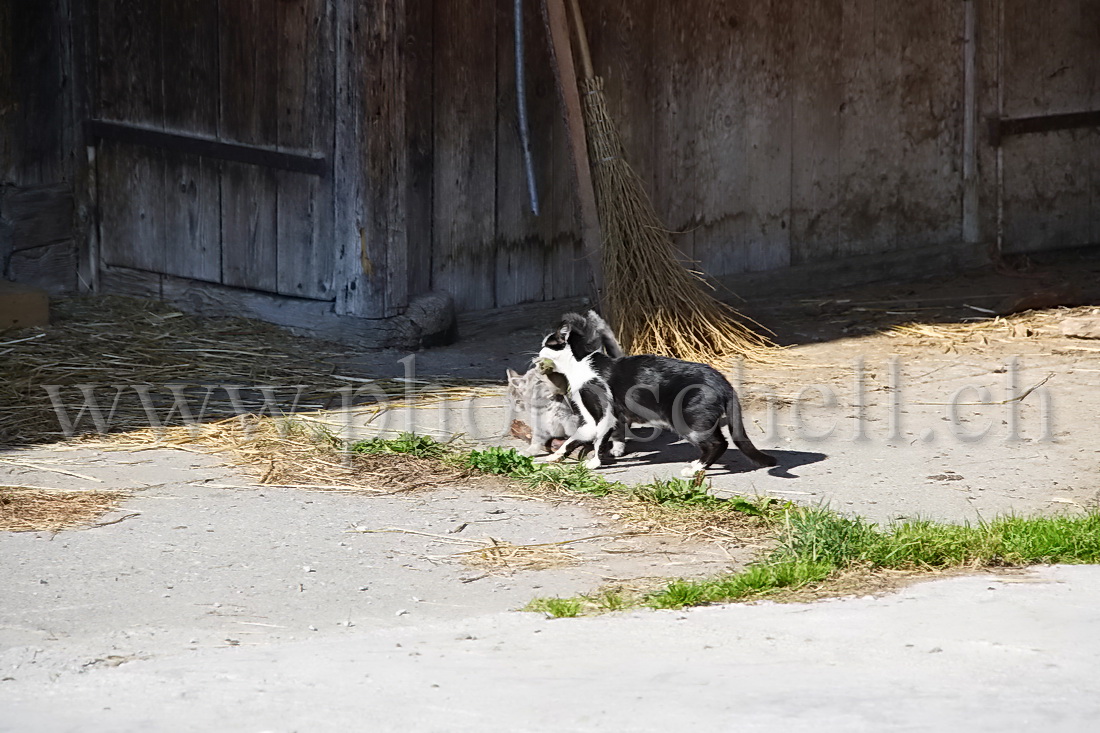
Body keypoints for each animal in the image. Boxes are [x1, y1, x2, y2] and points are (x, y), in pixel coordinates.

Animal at [536, 316, 778, 471]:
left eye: (546, 344)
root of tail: (723, 382)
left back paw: (695, 468)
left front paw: (594, 463)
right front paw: (555, 457)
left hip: (685, 418)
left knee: (719, 443)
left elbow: (598, 440)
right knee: (718, 440)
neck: (579, 364)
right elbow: (575, 437)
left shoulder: (605, 414)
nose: (537, 353)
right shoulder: (590, 419)